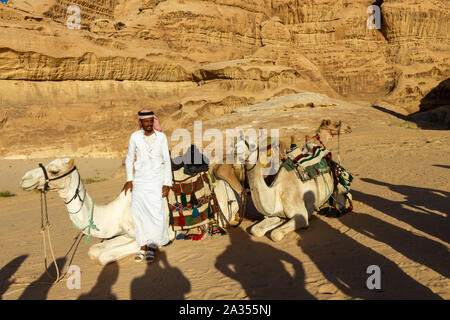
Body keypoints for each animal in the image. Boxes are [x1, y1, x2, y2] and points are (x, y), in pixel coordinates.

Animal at [21, 158, 239, 264]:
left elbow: (104, 256)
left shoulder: (160, 233)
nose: (24, 179)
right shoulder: (126, 233)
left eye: (54, 171)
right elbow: (95, 250)